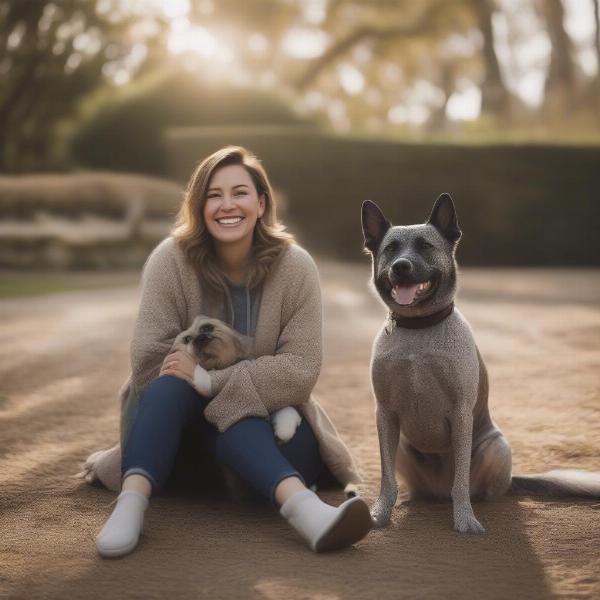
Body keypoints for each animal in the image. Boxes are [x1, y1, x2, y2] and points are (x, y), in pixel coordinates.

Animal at [364, 193, 596, 536]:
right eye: (391, 248)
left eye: (425, 245)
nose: (400, 266)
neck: (419, 330)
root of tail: (437, 491)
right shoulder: (385, 414)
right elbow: (386, 477)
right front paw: (380, 513)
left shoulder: (461, 415)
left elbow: (461, 480)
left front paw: (465, 519)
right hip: (404, 445)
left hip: (496, 446)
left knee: (486, 490)